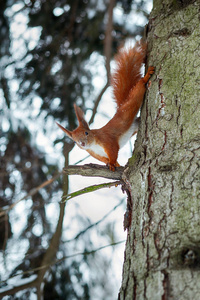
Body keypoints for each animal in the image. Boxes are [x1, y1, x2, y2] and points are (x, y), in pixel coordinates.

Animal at [56, 39, 155, 171]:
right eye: (75, 141)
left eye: (86, 133)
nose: (83, 143)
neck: (93, 144)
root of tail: (121, 106)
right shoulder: (95, 154)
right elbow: (104, 159)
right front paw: (114, 163)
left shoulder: (107, 140)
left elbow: (113, 151)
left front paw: (112, 163)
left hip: (134, 99)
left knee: (139, 87)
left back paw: (146, 76)